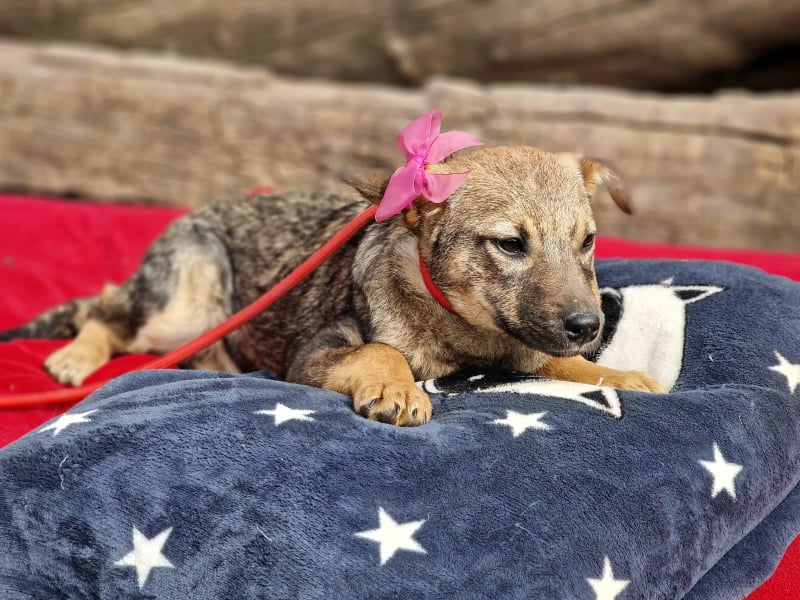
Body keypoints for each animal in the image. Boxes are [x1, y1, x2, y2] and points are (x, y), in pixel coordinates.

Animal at [0, 145, 664, 426]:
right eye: (510, 244)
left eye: (588, 242)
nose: (589, 326)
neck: (460, 329)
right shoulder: (317, 350)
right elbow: (381, 349)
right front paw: (398, 387)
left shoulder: (526, 344)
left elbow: (561, 365)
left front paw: (617, 373)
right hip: (187, 305)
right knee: (108, 308)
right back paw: (74, 356)